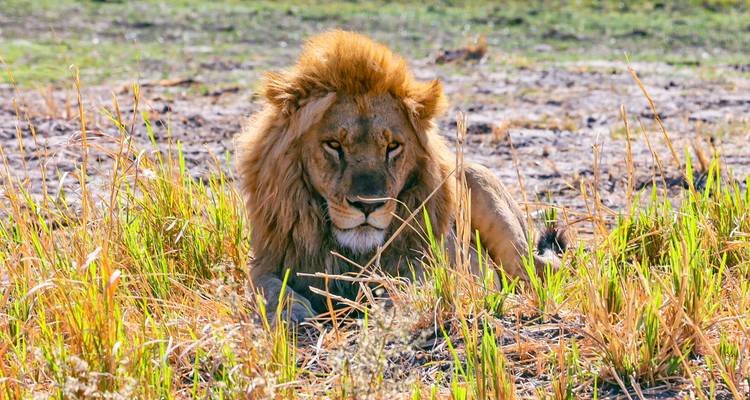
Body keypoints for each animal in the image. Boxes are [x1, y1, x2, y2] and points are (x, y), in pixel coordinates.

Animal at [236, 30, 565, 322]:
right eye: (334, 145)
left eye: (392, 146)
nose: (368, 206)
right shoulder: (267, 261)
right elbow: (267, 287)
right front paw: (291, 313)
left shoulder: (438, 263)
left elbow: (413, 285)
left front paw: (389, 308)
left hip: (498, 219)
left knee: (537, 277)